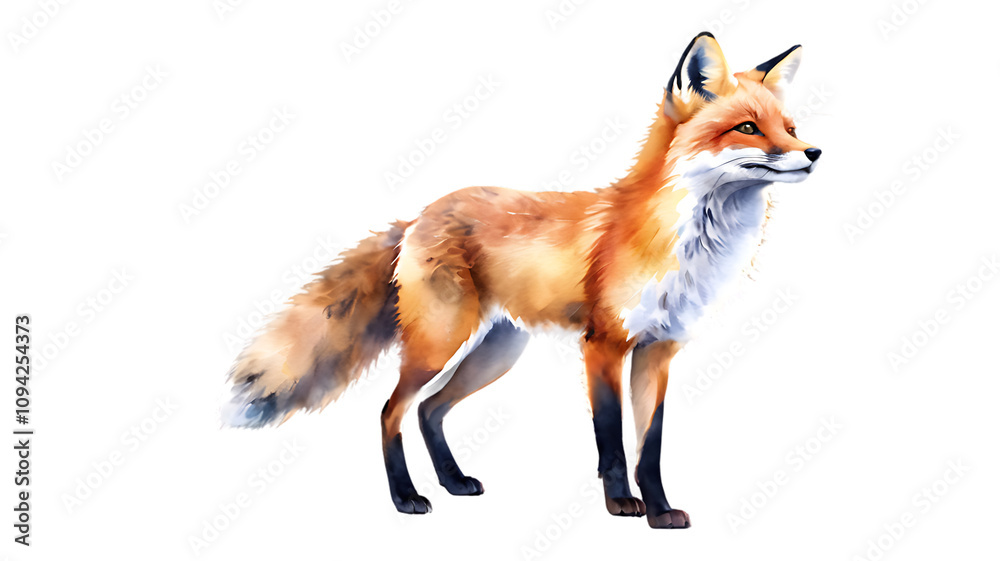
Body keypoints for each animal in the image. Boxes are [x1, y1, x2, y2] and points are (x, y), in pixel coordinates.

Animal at [223, 32, 821, 529]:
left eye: (790, 129)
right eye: (747, 127)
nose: (814, 153)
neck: (690, 245)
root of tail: (419, 214)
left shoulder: (659, 349)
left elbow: (649, 447)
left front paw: (660, 511)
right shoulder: (603, 345)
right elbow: (612, 441)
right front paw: (621, 505)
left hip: (496, 352)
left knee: (429, 409)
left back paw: (453, 482)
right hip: (440, 343)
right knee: (392, 410)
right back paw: (406, 497)